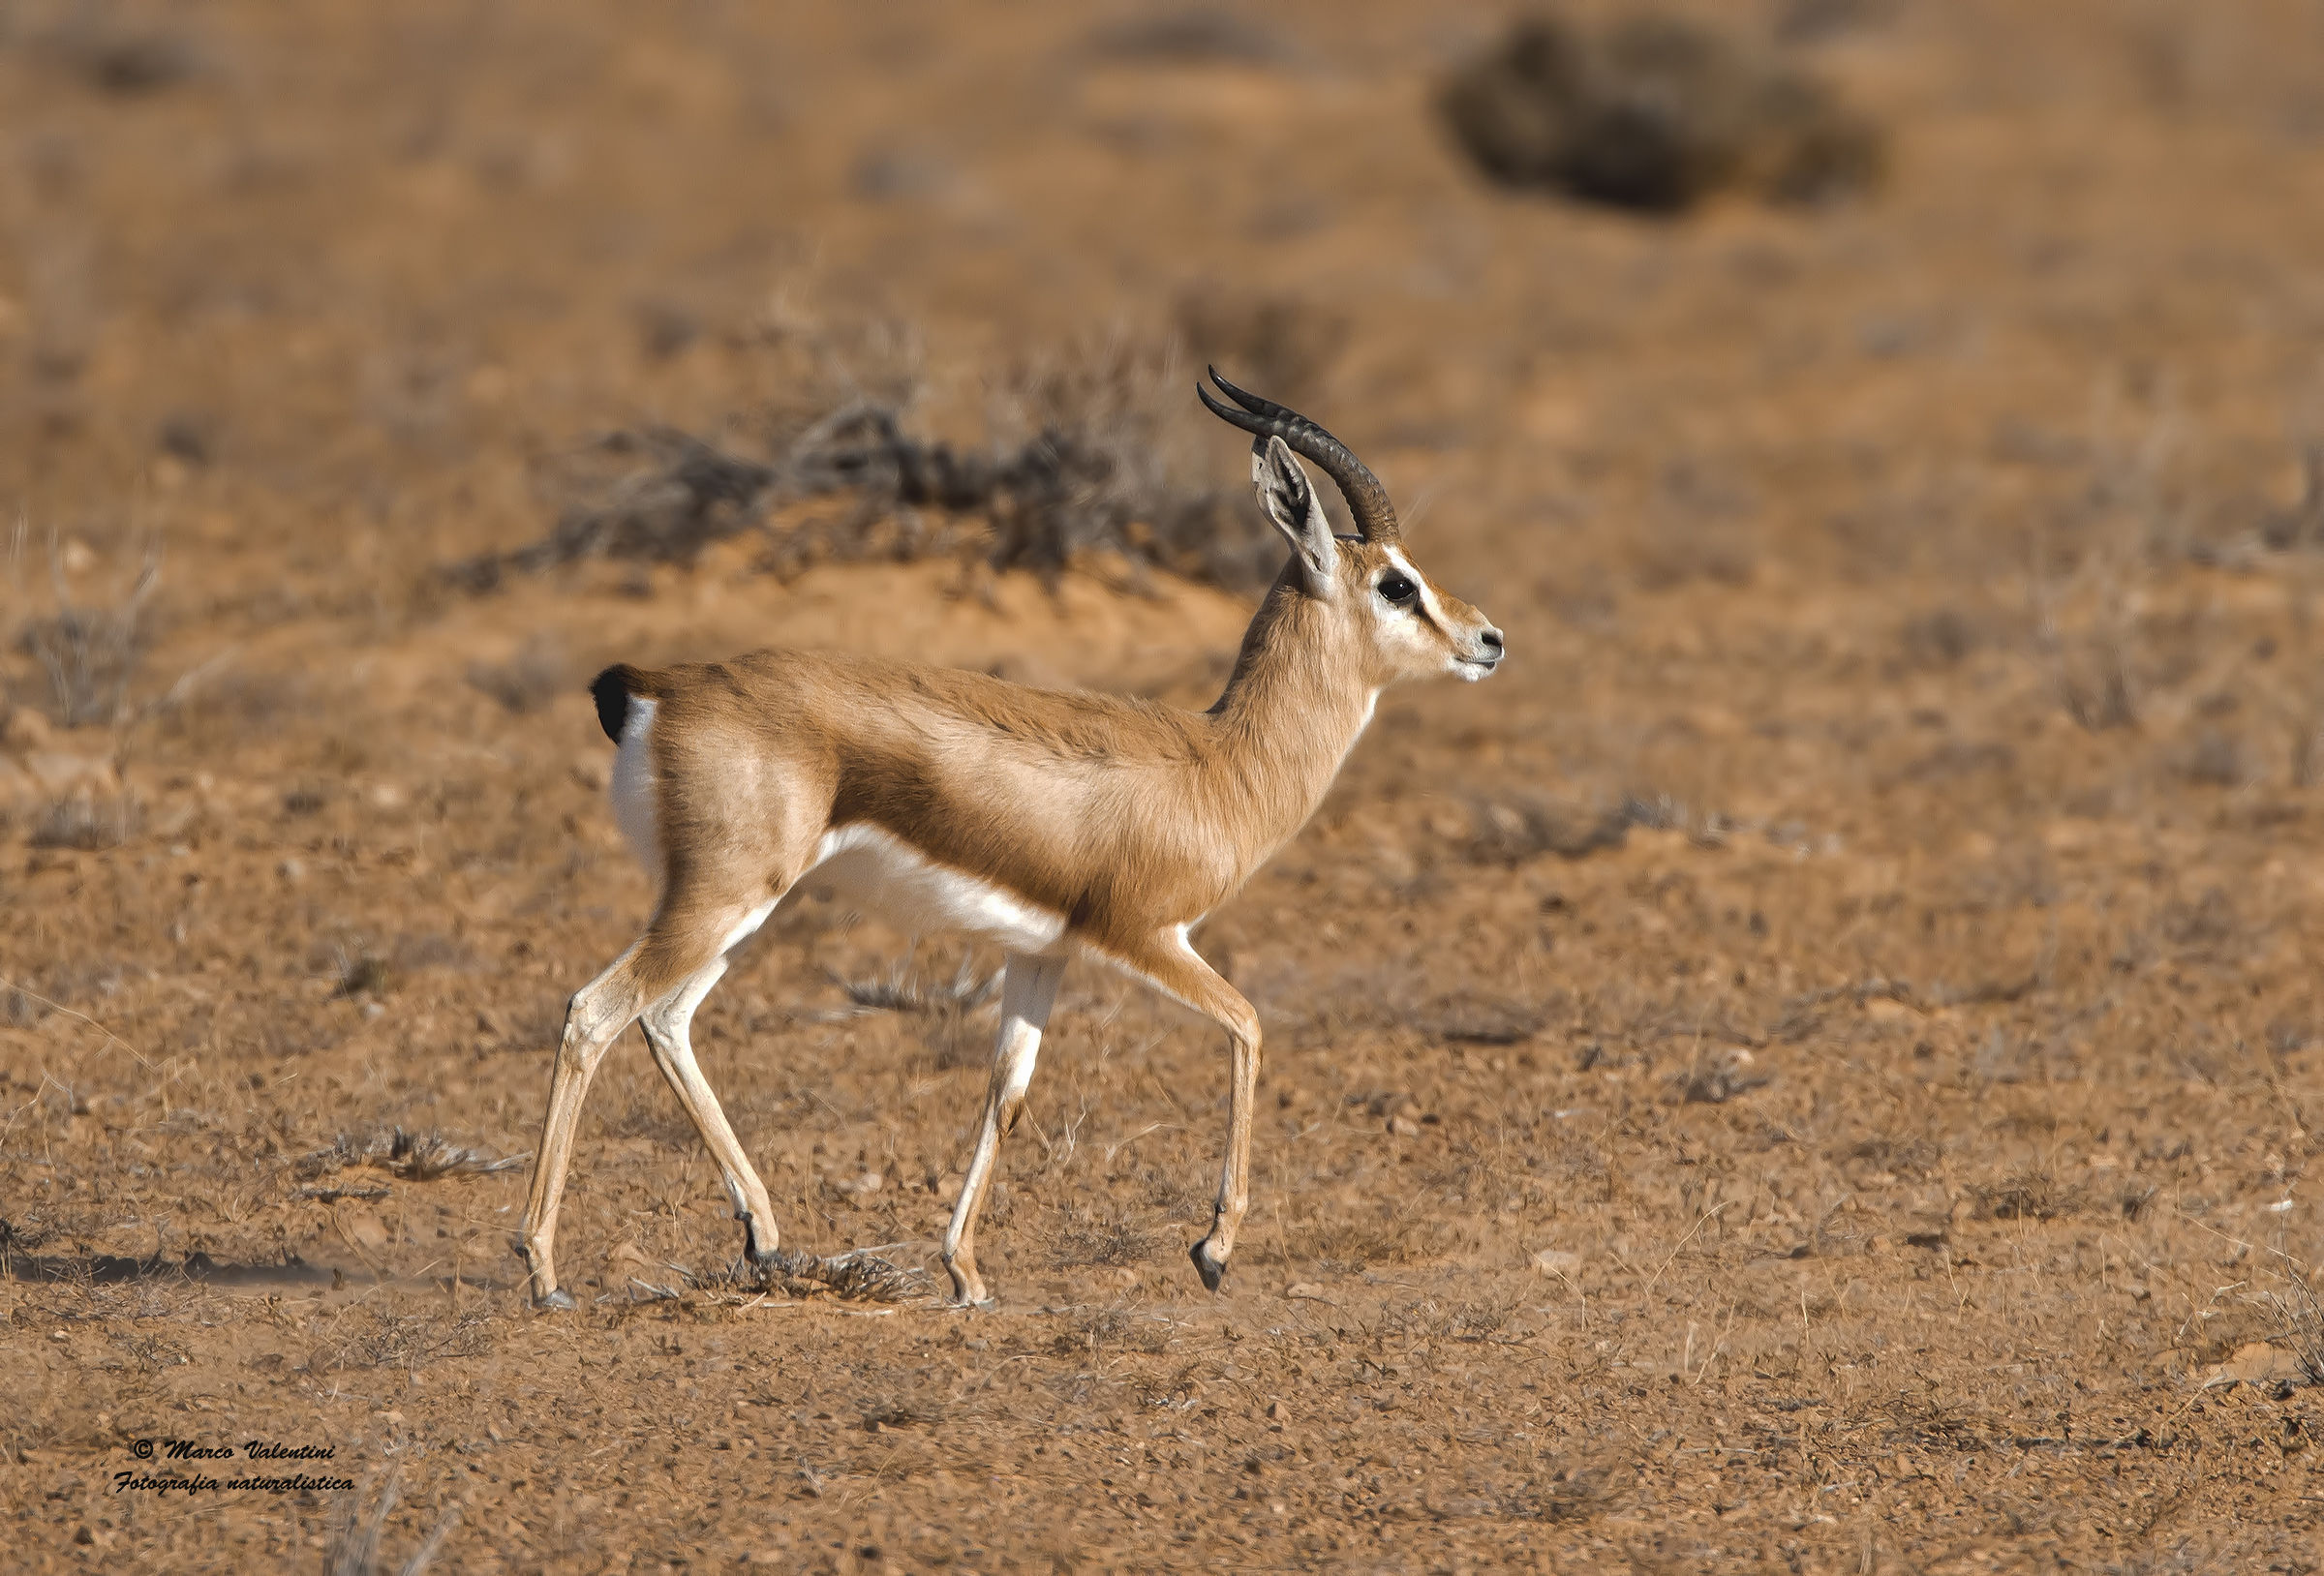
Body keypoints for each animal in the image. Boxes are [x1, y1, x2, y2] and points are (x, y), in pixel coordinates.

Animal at [517, 369, 1504, 1310]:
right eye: (1397, 584)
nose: (1490, 639)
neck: (1219, 765)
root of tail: (657, 687)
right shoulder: (1147, 939)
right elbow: (1251, 1026)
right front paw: (1213, 1252)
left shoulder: (1042, 955)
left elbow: (1006, 1094)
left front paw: (965, 1274)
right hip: (719, 900)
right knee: (594, 1011)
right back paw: (544, 1271)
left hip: (734, 909)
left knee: (665, 1018)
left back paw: (763, 1238)